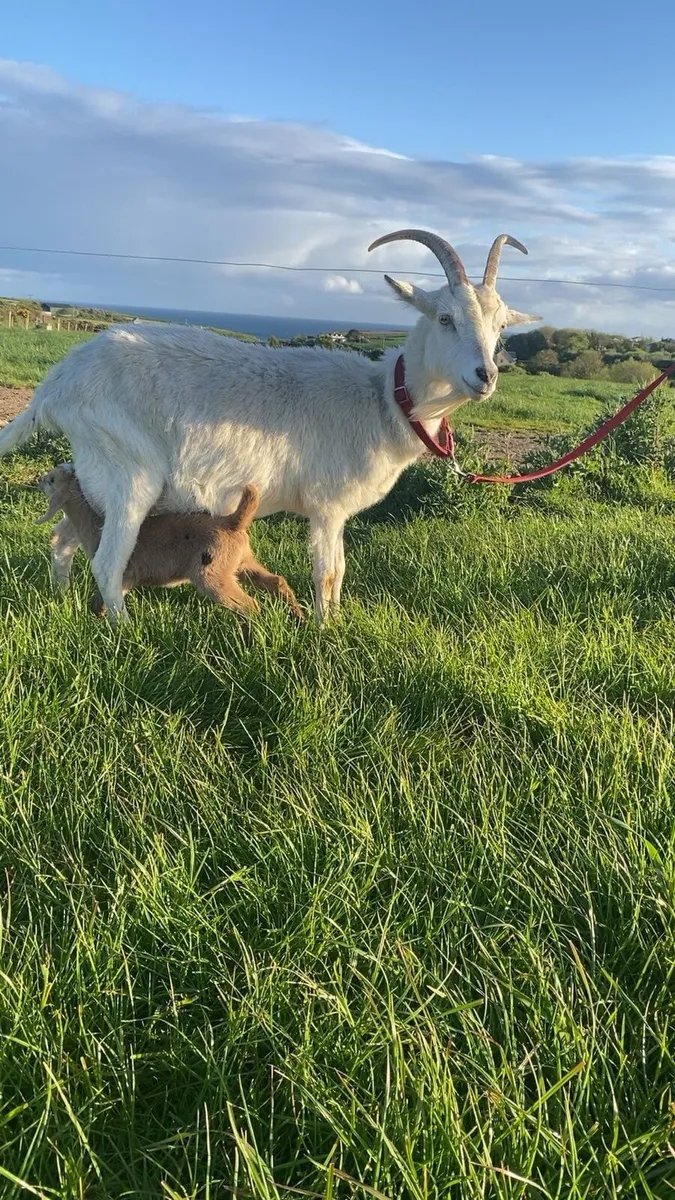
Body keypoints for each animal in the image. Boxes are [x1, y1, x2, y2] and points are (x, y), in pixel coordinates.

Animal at [35, 464, 304, 620]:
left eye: (51, 480)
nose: (38, 479)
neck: (94, 522)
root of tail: (233, 521)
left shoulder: (125, 575)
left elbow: (107, 595)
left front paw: (106, 620)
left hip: (212, 573)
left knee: (250, 606)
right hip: (241, 561)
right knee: (275, 581)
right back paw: (298, 617)